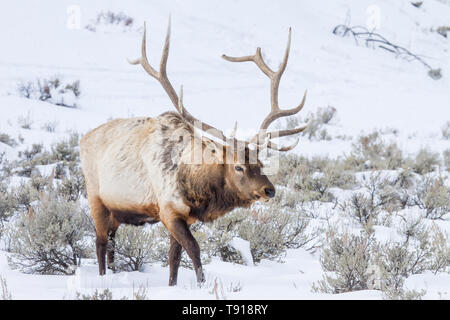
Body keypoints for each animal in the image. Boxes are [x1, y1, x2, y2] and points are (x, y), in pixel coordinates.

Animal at [79, 20, 308, 284]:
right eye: (238, 166)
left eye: (260, 163)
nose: (268, 190)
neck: (195, 189)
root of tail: (83, 139)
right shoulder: (168, 210)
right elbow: (194, 250)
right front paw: (202, 284)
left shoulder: (183, 217)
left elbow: (174, 259)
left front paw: (173, 285)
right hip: (96, 198)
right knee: (100, 242)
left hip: (117, 212)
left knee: (112, 243)